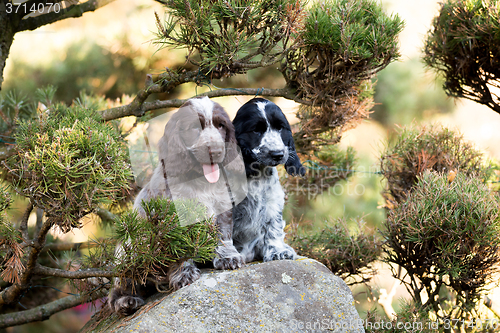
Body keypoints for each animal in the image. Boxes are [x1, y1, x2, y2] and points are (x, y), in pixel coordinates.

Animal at [108, 96, 245, 316]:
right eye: (195, 128)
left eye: (221, 126)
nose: (216, 151)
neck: (201, 179)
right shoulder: (172, 220)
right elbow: (178, 250)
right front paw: (184, 274)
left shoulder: (222, 206)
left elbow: (223, 235)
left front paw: (228, 258)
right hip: (129, 251)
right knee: (118, 290)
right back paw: (126, 301)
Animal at [230, 97, 304, 264]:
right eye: (256, 130)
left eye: (280, 128)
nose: (278, 154)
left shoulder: (272, 201)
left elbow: (273, 227)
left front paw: (278, 251)